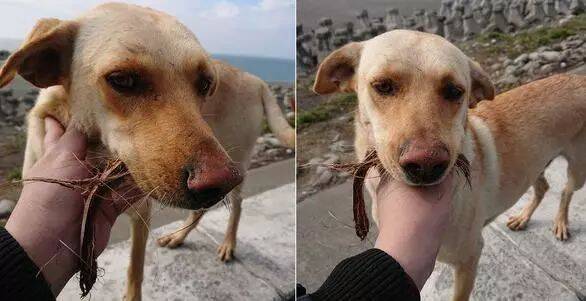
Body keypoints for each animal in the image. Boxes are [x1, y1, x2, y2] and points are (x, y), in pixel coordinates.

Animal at [0, 2, 292, 300]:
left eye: (205, 83)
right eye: (122, 79)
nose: (219, 183)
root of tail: (256, 79)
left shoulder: (142, 213)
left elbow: (135, 268)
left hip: (237, 158)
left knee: (237, 205)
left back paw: (228, 242)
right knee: (203, 210)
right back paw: (179, 236)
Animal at [312, 29, 580, 298]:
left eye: (454, 91)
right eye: (383, 86)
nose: (426, 165)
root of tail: (579, 79)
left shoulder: (469, 257)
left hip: (578, 171)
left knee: (565, 191)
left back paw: (560, 222)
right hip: (535, 164)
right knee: (543, 187)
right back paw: (523, 217)